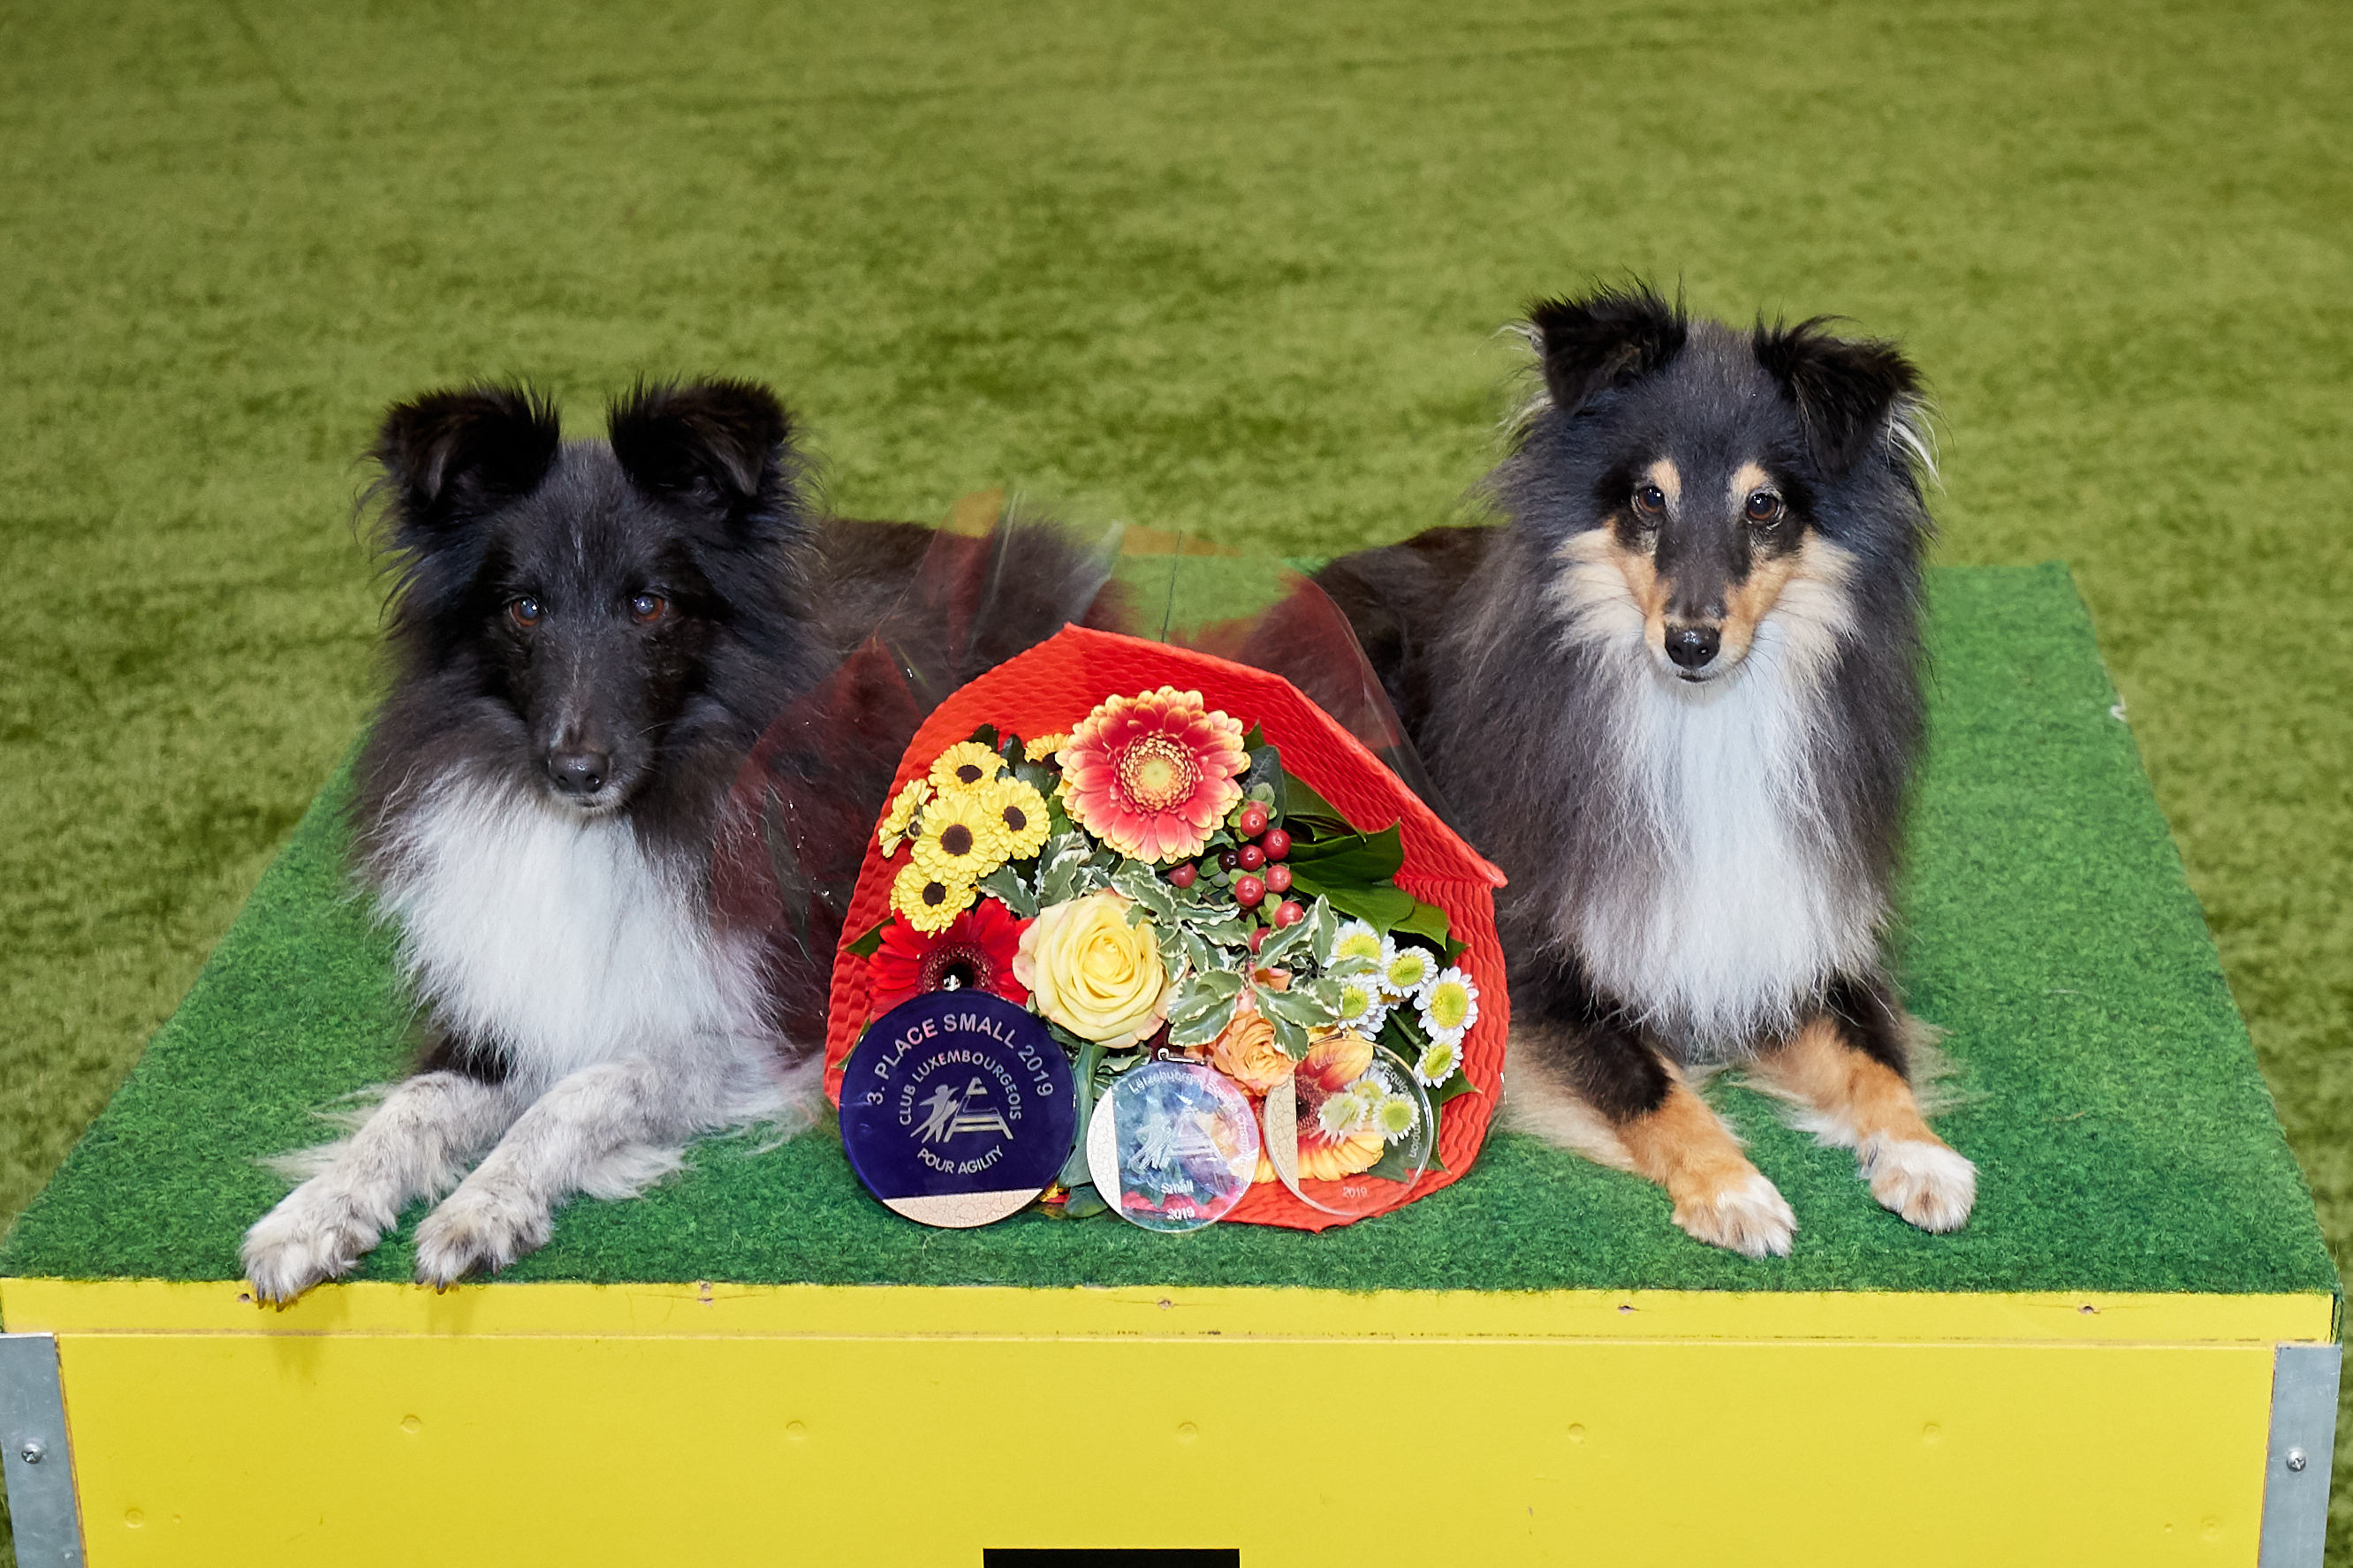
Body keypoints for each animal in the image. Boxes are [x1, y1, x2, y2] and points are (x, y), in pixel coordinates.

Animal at [242, 380, 1116, 1300]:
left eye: (647, 603)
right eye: (524, 608)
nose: (576, 768)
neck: (613, 825)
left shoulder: (754, 1023)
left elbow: (579, 1092)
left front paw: (483, 1205)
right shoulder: (505, 1007)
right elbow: (405, 1110)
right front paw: (311, 1213)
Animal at [1312, 285, 1974, 1257]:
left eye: (1764, 506)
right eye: (1646, 497)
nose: (1689, 642)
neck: (1701, 727)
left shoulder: (1800, 936)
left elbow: (1873, 1056)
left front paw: (1922, 1156)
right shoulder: (1532, 964)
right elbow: (1646, 1079)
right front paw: (1732, 1187)